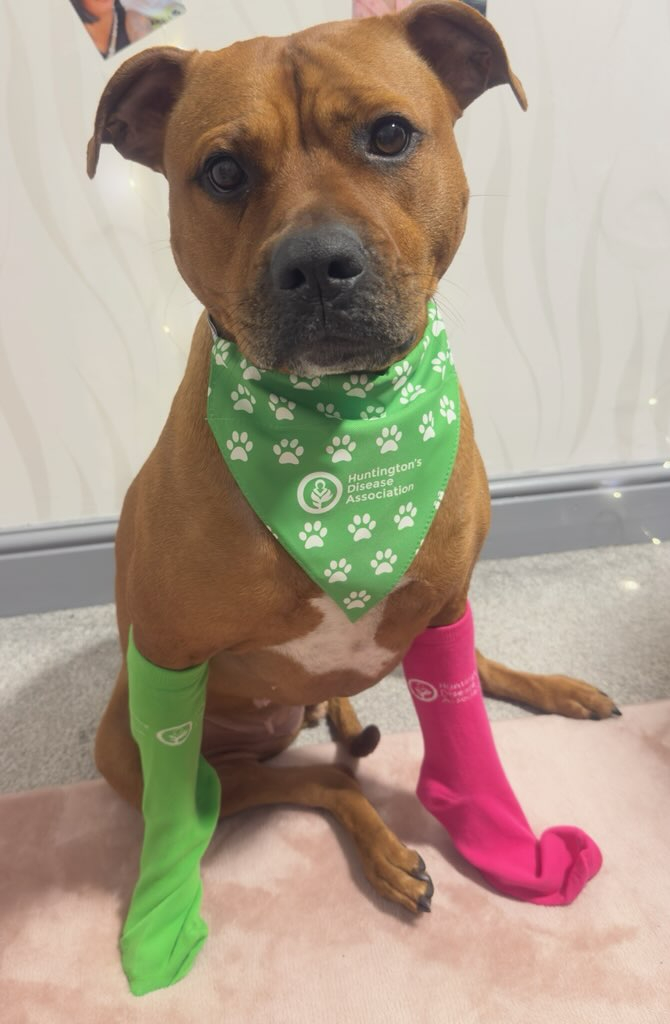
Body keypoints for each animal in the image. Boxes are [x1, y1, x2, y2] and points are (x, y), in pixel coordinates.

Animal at [88, 0, 617, 916]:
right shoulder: (165, 656)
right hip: (140, 743)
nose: (316, 264)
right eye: (222, 172)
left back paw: (552, 688)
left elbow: (465, 717)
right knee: (318, 784)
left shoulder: (443, 600)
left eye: (390, 134)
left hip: (434, 610)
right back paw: (380, 840)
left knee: (469, 671)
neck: (338, 430)